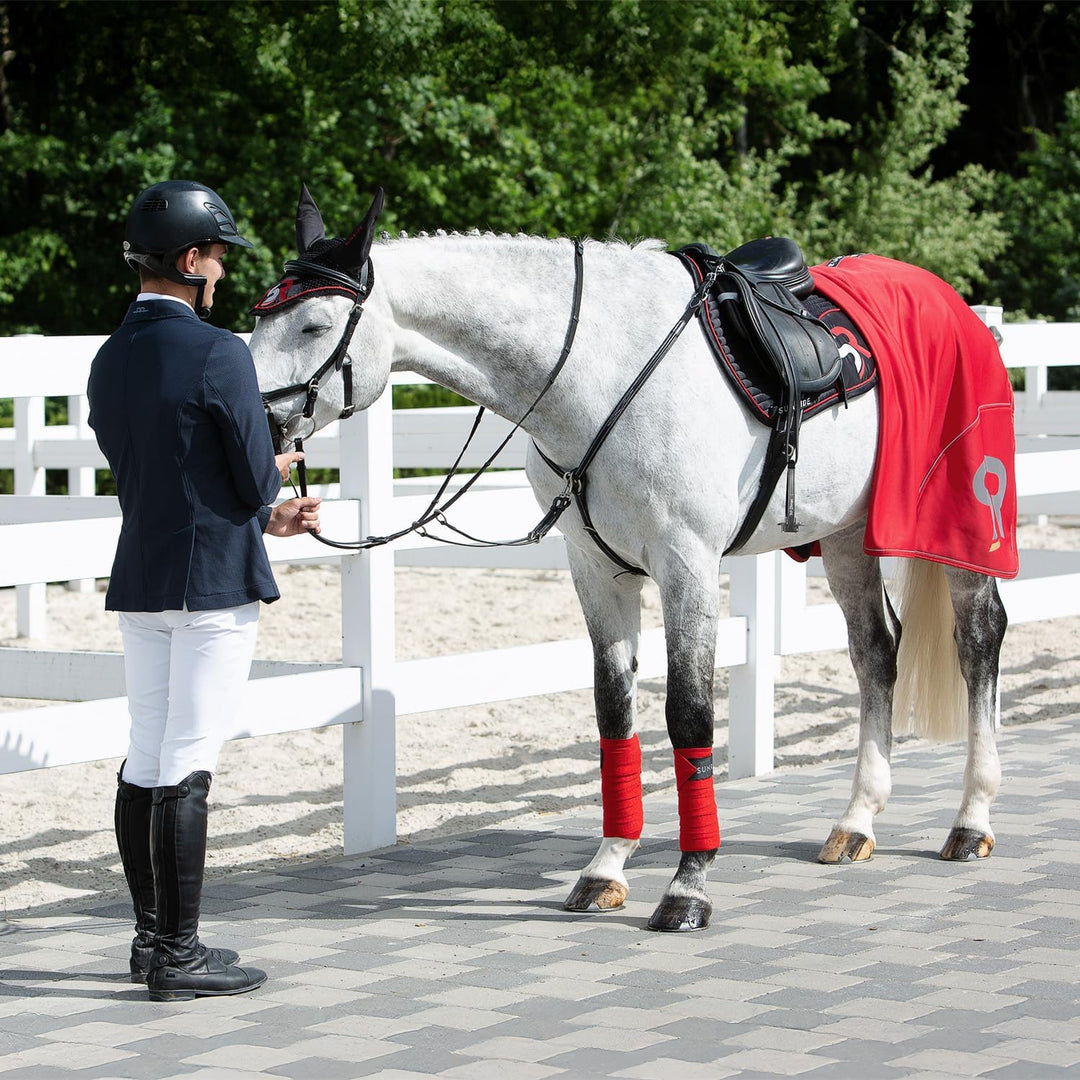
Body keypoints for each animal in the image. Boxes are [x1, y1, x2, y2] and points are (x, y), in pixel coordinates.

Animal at [248, 186, 1011, 932]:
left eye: (314, 325)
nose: (253, 419)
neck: (598, 370)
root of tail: (959, 308)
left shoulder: (688, 563)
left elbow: (689, 715)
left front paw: (688, 884)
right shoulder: (596, 568)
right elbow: (613, 711)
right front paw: (607, 867)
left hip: (964, 528)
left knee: (978, 640)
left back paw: (971, 819)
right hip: (850, 535)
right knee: (875, 651)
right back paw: (857, 821)